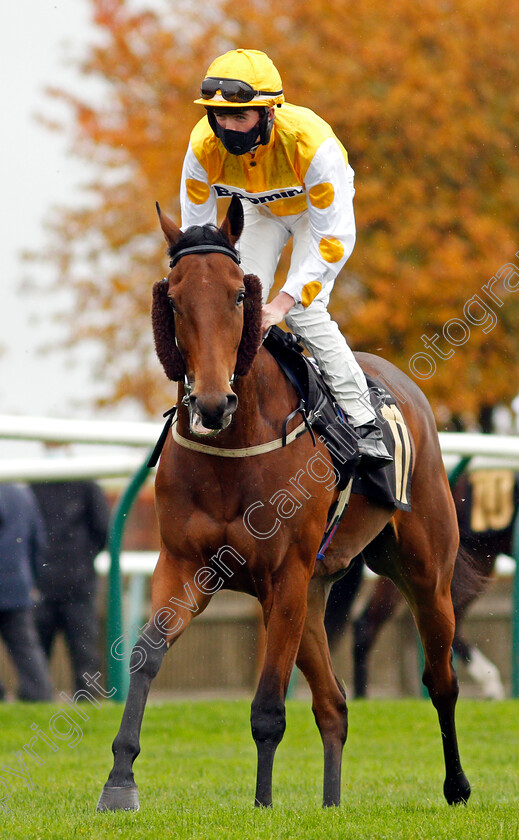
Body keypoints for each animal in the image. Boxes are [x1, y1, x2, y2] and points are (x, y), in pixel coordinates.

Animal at [97, 194, 476, 812]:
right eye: (173, 298)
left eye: (238, 294)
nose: (211, 402)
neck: (235, 447)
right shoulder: (183, 565)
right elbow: (146, 653)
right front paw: (119, 781)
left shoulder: (285, 575)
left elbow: (269, 707)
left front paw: (262, 803)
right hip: (316, 592)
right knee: (335, 703)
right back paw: (331, 804)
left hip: (422, 571)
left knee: (440, 680)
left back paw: (457, 785)